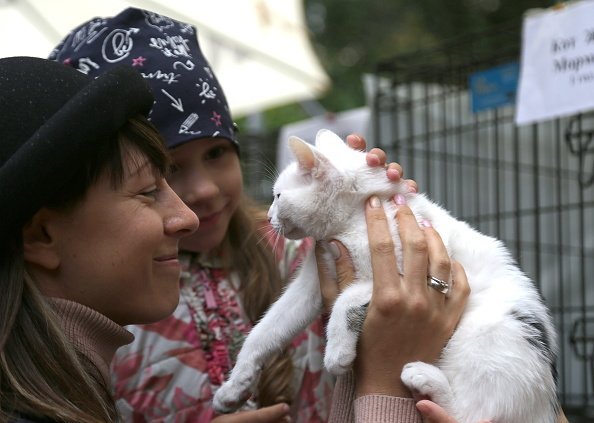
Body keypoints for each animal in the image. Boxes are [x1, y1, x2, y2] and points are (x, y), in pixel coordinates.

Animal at [214, 130, 560, 423]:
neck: (353, 219)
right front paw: (235, 386)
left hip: (488, 335)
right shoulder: (316, 276)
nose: (269, 217)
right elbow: (268, 328)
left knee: (472, 416)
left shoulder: (406, 272)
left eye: (277, 196)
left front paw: (337, 353)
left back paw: (426, 379)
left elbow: (346, 299)